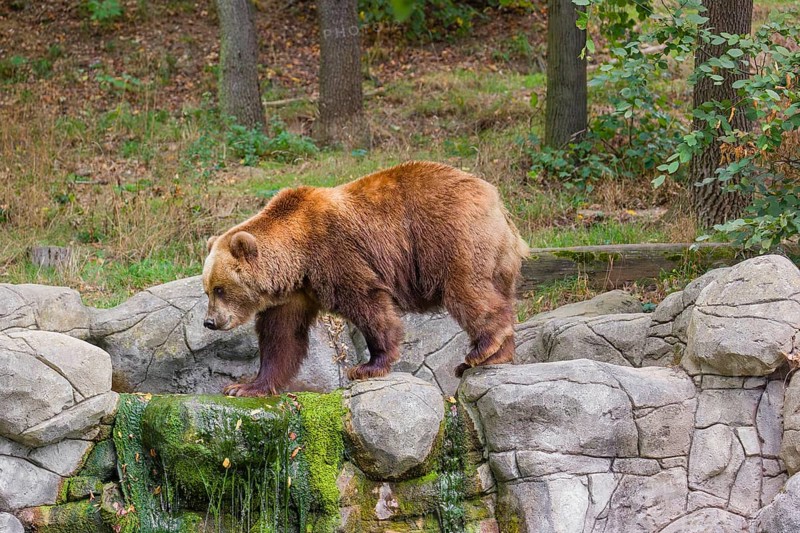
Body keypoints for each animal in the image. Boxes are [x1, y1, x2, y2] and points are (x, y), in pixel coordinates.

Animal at [203, 161, 529, 397]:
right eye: (207, 289)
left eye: (219, 288)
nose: (209, 321)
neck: (297, 258)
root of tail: (493, 196)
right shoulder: (294, 293)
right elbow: (281, 336)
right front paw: (244, 386)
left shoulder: (336, 252)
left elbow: (368, 304)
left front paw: (368, 366)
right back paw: (494, 356)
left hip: (451, 236)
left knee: (468, 292)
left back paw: (481, 350)